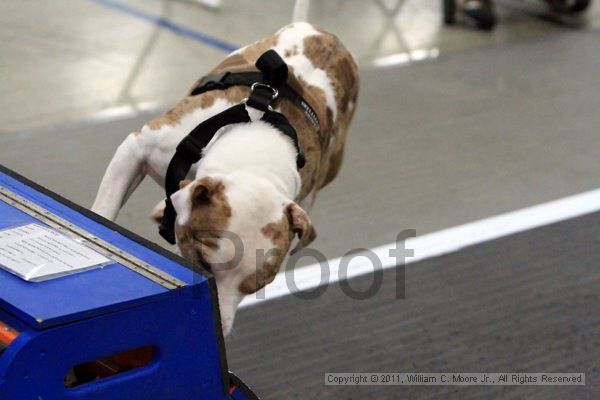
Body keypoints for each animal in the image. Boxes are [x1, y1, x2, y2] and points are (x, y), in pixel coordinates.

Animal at [91, 21, 358, 334]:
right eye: (203, 262)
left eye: (258, 286)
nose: (218, 327)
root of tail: (326, 35)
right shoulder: (136, 149)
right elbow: (105, 208)